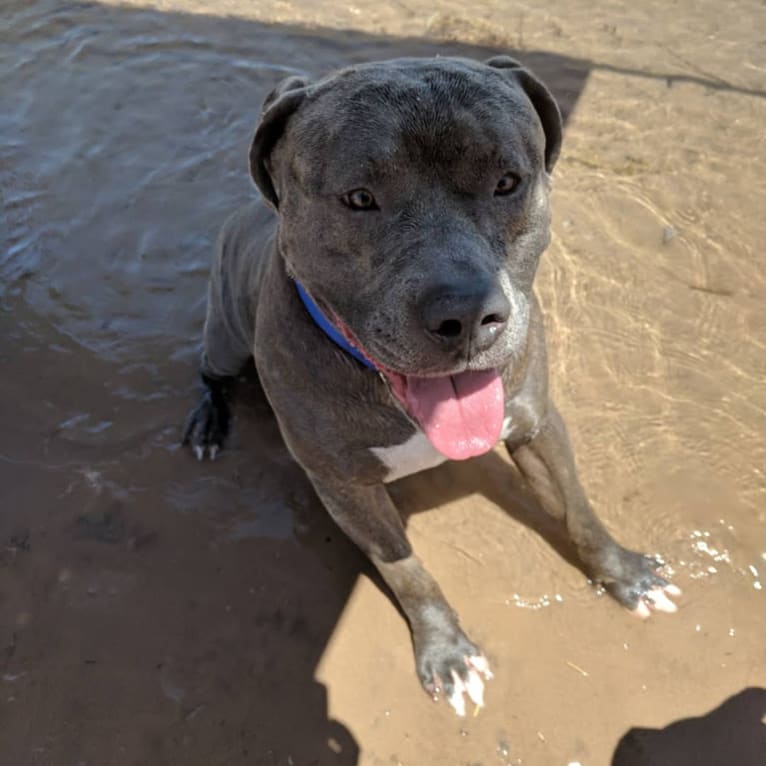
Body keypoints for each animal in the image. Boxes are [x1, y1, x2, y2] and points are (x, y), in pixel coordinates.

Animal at [183, 55, 680, 720]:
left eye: (507, 181)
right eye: (359, 198)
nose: (465, 314)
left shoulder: (537, 424)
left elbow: (578, 509)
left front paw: (625, 572)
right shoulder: (343, 486)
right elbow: (407, 570)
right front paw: (446, 652)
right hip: (224, 336)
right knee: (209, 372)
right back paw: (207, 424)